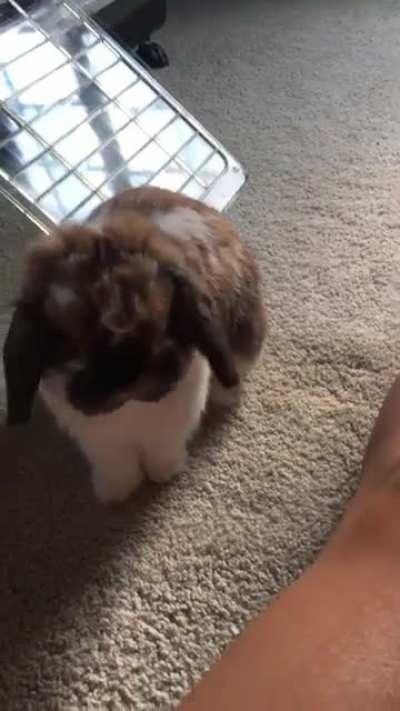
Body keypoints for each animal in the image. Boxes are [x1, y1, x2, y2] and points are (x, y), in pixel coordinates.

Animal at [3, 187, 266, 503]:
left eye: (162, 321)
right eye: (71, 341)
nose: (129, 377)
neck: (130, 406)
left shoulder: (170, 427)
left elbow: (162, 451)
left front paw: (164, 473)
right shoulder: (103, 445)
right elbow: (118, 465)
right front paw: (115, 492)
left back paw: (227, 395)